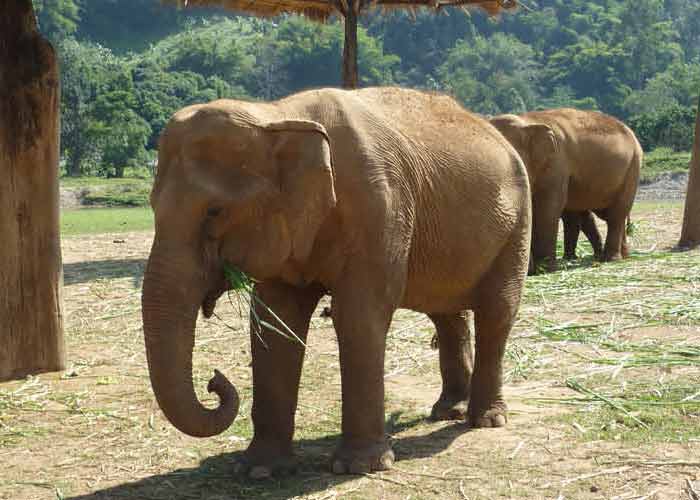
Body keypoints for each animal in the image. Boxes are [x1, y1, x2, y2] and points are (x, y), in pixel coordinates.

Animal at [142, 88, 532, 478]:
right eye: (152, 207)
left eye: (215, 211)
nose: (214, 381)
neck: (278, 115)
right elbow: (274, 323)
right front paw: (258, 469)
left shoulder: (380, 208)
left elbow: (358, 317)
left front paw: (359, 466)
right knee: (447, 313)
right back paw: (447, 410)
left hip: (517, 224)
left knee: (497, 312)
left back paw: (485, 420)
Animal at [490, 110, 644, 274]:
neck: (526, 121)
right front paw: (531, 271)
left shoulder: (556, 164)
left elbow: (547, 208)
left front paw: (545, 269)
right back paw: (619, 256)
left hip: (633, 167)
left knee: (616, 214)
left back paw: (610, 259)